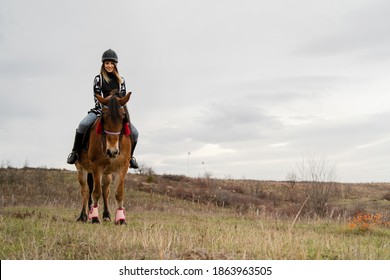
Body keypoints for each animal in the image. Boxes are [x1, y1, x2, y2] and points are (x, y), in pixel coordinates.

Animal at [75, 91, 132, 224]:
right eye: (104, 118)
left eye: (123, 117)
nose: (112, 152)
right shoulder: (96, 167)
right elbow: (96, 193)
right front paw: (95, 218)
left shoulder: (123, 167)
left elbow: (119, 193)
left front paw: (121, 219)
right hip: (82, 170)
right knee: (85, 191)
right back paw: (83, 216)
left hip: (107, 174)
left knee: (106, 191)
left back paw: (106, 215)